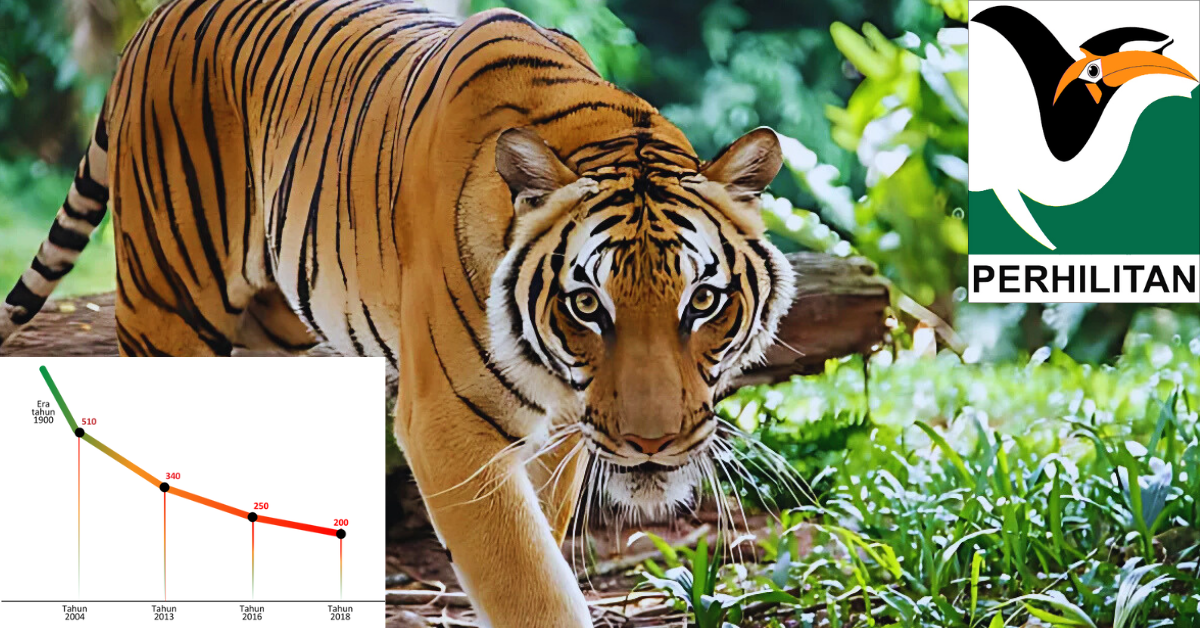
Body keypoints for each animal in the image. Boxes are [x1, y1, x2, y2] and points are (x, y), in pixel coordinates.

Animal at [0, 0, 796, 625]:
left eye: (702, 300)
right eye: (586, 305)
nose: (651, 443)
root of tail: (151, 21)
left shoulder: (563, 437)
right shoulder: (449, 430)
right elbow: (532, 589)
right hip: (168, 310)